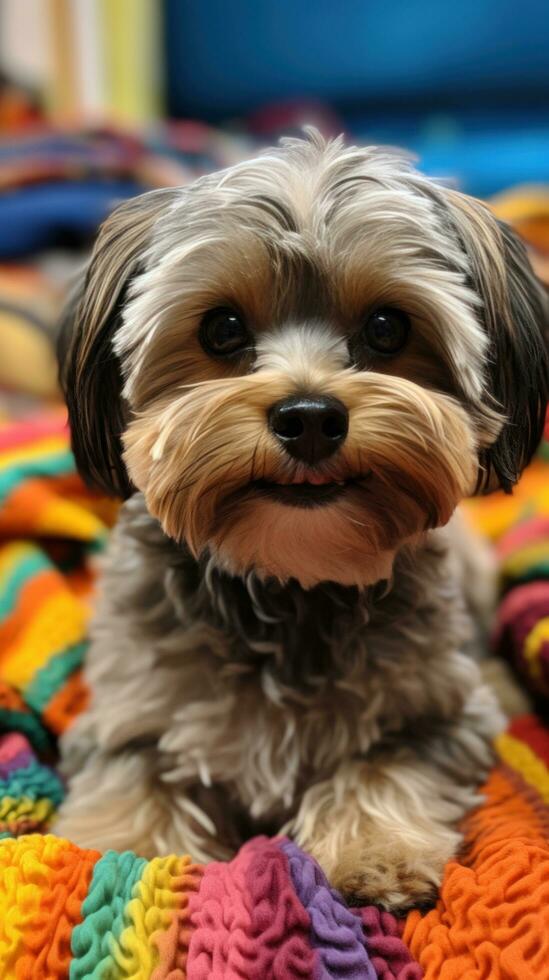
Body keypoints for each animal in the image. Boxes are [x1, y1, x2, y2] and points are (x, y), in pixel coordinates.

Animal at [55, 132, 548, 912]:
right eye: (222, 329)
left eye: (386, 328)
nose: (310, 416)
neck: (290, 579)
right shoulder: (122, 718)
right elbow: (133, 782)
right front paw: (122, 853)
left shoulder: (440, 715)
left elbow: (382, 764)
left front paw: (376, 851)